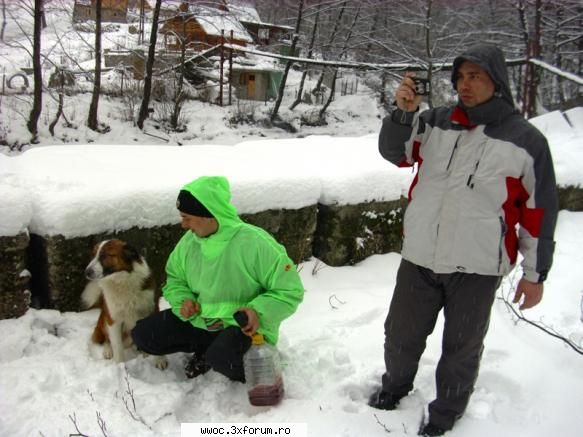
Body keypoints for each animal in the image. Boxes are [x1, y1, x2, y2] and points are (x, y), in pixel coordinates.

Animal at [80, 238, 167, 368]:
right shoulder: (113, 320)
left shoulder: (151, 311)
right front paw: (120, 367)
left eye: (105, 255)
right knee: (107, 340)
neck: (121, 281)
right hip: (105, 320)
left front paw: (160, 360)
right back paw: (108, 350)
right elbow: (117, 346)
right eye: (93, 255)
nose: (87, 272)